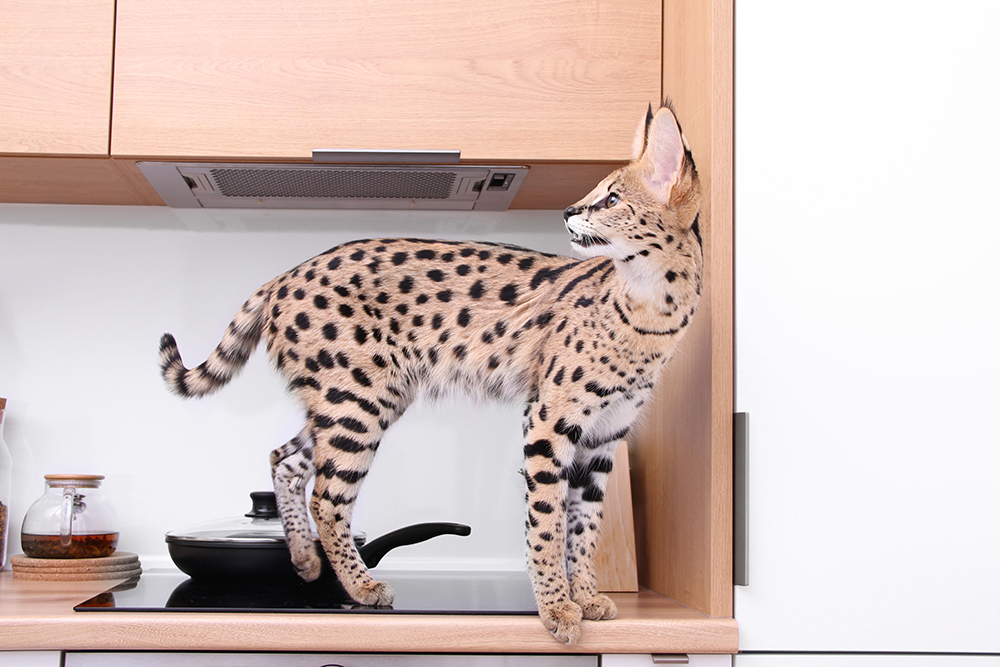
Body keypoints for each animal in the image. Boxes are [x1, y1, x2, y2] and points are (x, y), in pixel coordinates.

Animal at [160, 103, 700, 640]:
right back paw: (361, 587)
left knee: (286, 460)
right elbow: (546, 522)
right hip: (359, 401)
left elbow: (585, 527)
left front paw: (585, 597)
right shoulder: (549, 420)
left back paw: (305, 561)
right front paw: (556, 609)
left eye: (611, 198)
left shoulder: (605, 437)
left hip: (349, 401)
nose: (567, 212)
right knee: (327, 498)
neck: (653, 311)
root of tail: (282, 275)